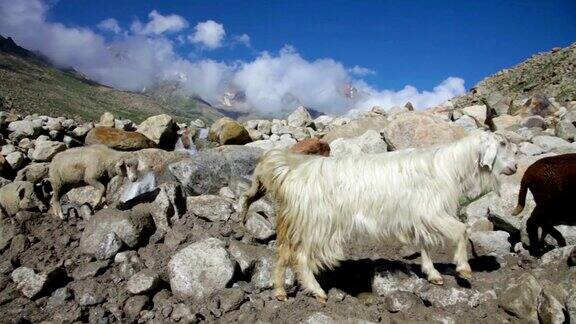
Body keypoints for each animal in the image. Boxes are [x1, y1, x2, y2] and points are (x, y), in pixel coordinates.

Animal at [241, 130, 520, 302]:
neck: (447, 167)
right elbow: (461, 231)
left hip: (295, 224)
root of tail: (292, 171)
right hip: (317, 224)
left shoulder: (421, 216)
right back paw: (317, 291)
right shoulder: (433, 211)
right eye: (502, 145)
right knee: (300, 258)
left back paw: (280, 292)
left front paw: (433, 274)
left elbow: (425, 244)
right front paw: (464, 269)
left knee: (282, 255)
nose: (515, 166)